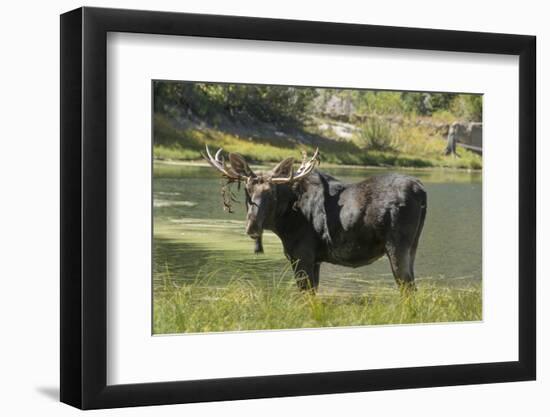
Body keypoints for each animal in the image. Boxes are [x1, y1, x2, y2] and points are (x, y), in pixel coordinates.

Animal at [205, 146, 430, 292]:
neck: (284, 223)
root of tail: (421, 190)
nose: (252, 226)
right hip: (413, 246)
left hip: (397, 245)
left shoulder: (302, 255)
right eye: (247, 190)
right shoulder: (316, 260)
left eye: (272, 193)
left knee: (407, 288)